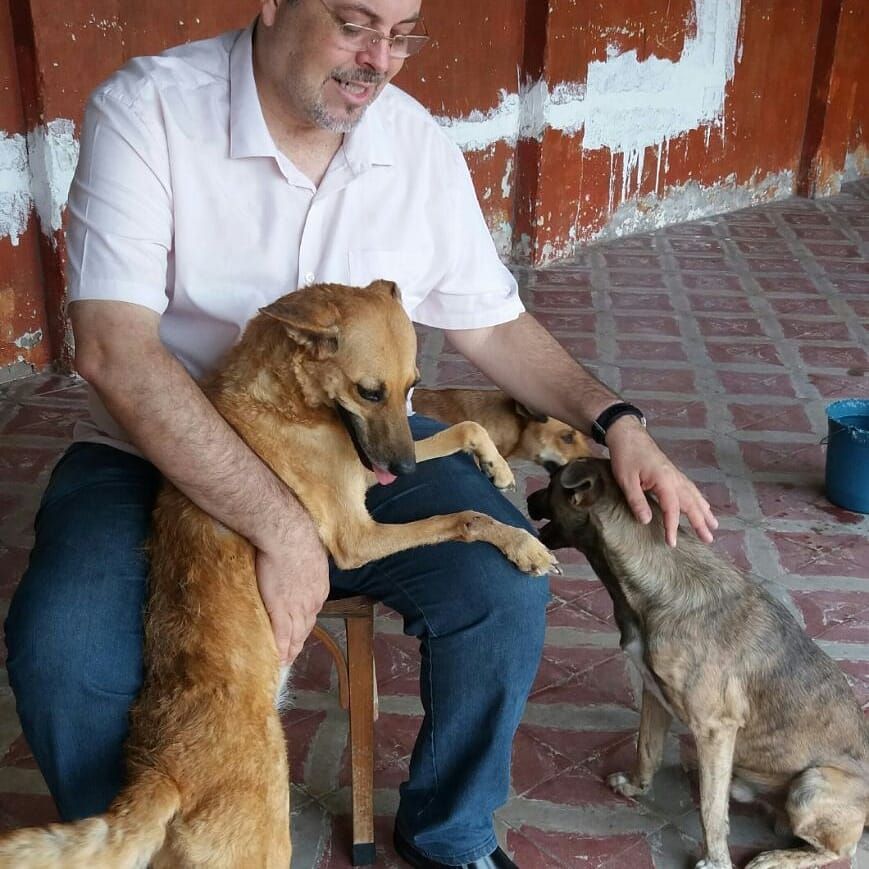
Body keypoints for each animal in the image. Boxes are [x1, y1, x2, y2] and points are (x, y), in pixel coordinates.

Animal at [524, 454, 864, 868]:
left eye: (551, 483)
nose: (527, 499)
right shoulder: (654, 694)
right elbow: (647, 750)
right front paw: (636, 786)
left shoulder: (715, 729)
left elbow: (710, 812)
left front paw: (716, 859)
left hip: (810, 786)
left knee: (837, 849)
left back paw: (776, 858)